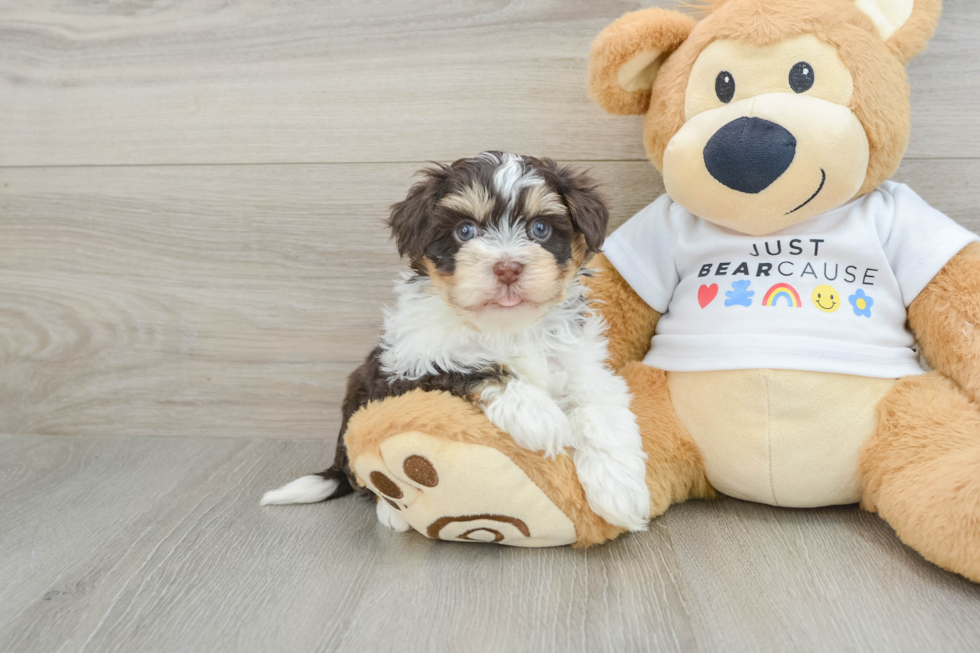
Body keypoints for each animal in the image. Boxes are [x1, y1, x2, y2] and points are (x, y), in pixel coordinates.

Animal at [262, 154, 652, 536]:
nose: (507, 267)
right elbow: (468, 366)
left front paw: (620, 492)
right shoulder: (405, 365)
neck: (507, 326)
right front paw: (537, 415)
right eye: (465, 231)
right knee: (363, 476)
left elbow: (599, 410)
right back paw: (391, 512)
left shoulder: (581, 363)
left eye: (539, 229)